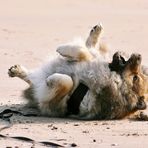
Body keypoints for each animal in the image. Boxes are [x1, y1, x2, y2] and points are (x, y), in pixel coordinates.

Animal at [8, 24, 148, 119]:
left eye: (135, 78)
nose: (139, 55)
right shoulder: (89, 61)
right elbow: (83, 52)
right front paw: (64, 49)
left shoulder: (53, 104)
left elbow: (67, 81)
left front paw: (51, 79)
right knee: (89, 48)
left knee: (33, 80)